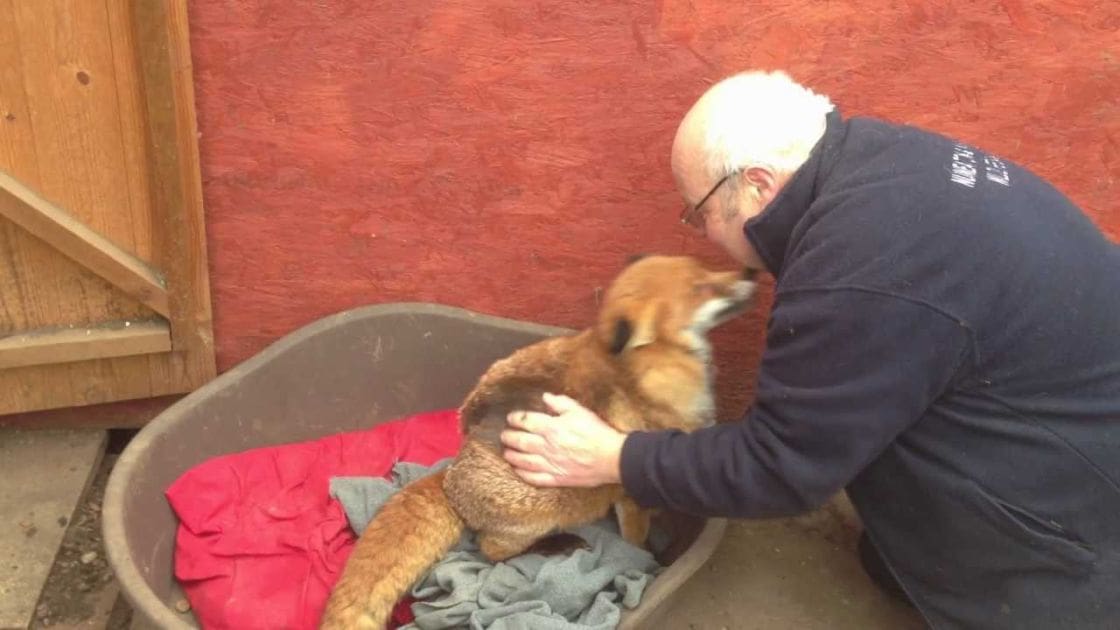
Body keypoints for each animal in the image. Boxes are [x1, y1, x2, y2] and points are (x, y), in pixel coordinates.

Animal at [318, 254, 757, 629]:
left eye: (706, 268)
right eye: (702, 287)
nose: (752, 271)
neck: (650, 372)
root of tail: (453, 470)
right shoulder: (628, 492)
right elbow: (640, 543)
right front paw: (653, 562)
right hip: (541, 504)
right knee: (491, 552)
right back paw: (552, 545)